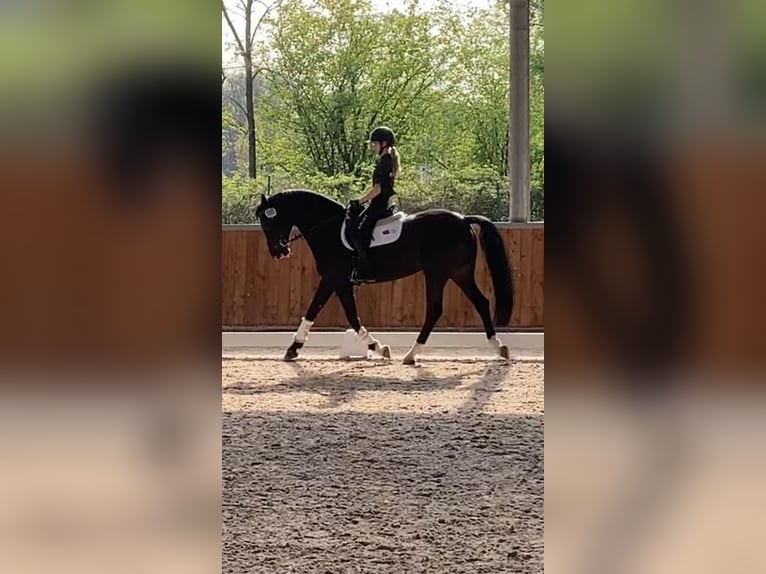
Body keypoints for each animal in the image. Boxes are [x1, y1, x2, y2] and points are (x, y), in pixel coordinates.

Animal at [255, 190, 515, 364]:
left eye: (267, 221)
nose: (278, 252)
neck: (328, 228)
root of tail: (463, 219)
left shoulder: (333, 279)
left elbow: (318, 312)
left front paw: (293, 349)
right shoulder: (341, 283)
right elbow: (351, 317)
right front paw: (377, 347)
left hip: (438, 273)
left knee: (435, 309)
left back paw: (412, 354)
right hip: (459, 272)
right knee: (481, 302)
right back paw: (498, 347)